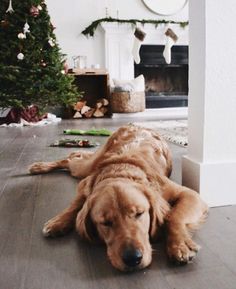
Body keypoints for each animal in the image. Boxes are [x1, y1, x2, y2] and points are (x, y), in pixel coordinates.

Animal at [29, 124, 208, 270]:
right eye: (105, 223)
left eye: (139, 214)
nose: (133, 258)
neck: (121, 169)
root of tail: (135, 125)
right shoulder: (86, 185)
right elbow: (76, 203)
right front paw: (58, 221)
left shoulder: (189, 194)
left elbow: (174, 216)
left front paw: (179, 245)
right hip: (87, 168)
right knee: (71, 158)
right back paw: (39, 166)